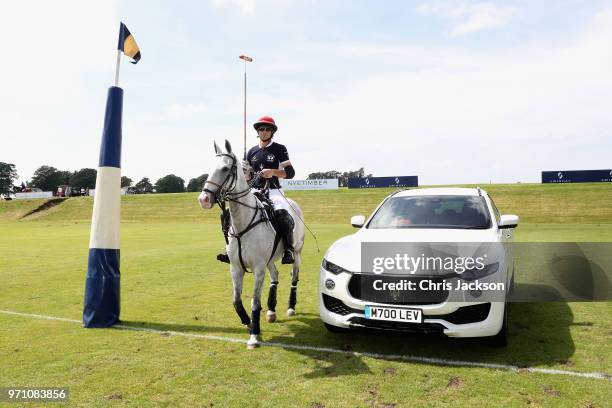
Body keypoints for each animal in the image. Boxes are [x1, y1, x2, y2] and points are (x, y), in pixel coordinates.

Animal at [200, 139, 304, 348]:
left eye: (225, 168)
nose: (204, 199)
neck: (243, 223)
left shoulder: (258, 268)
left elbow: (254, 301)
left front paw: (254, 335)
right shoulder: (236, 267)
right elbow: (236, 300)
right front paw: (248, 323)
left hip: (297, 252)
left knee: (294, 277)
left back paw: (291, 307)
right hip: (270, 259)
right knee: (275, 276)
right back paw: (271, 311)